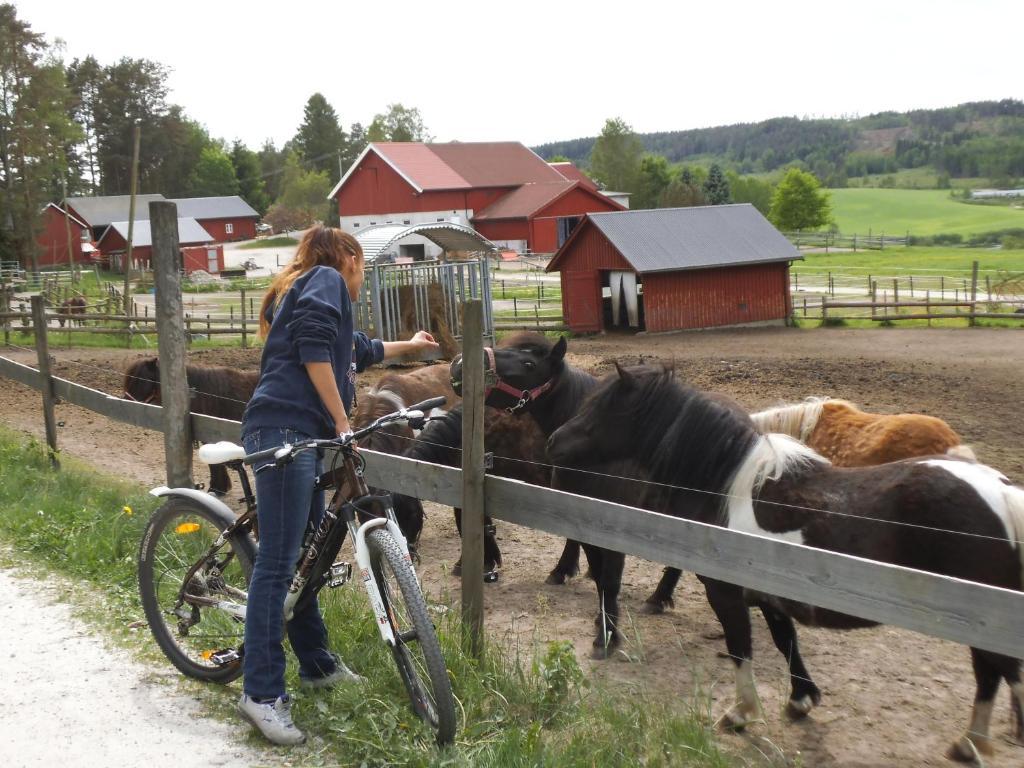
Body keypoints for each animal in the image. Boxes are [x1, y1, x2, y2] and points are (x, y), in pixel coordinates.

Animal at [548, 366, 1024, 765]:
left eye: (602, 409)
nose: (553, 441)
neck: (731, 493)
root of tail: (1001, 491)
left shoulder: (727, 594)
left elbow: (741, 647)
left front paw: (741, 713)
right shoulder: (771, 597)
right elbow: (786, 642)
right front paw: (801, 699)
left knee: (994, 673)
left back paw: (972, 742)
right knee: (995, 673)